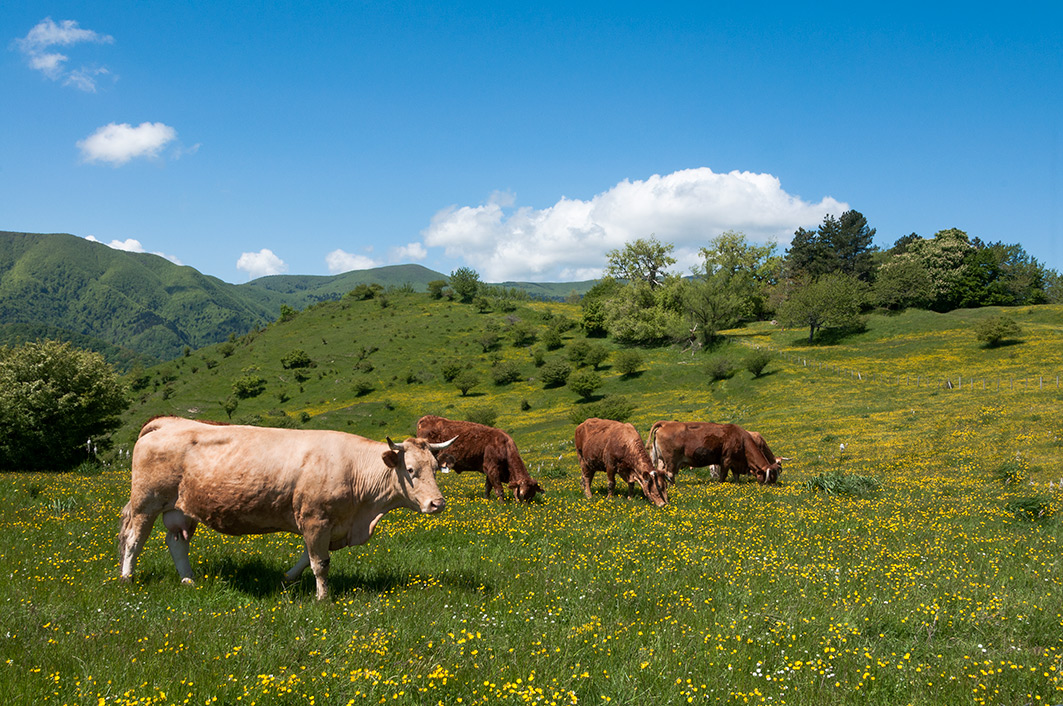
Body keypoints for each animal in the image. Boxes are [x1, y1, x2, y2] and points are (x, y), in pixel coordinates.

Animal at [118, 416, 454, 600]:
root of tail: (169, 422)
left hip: (180, 508)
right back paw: (126, 578)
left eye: (436, 468)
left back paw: (189, 580)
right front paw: (323, 598)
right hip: (146, 502)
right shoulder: (315, 519)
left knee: (176, 542)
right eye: (410, 470)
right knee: (134, 540)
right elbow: (320, 562)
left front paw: (287, 578)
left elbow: (308, 558)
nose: (437, 503)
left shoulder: (329, 524)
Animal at [648, 420, 781, 485]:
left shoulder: (735, 462)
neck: (742, 440)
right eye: (771, 478)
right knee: (670, 474)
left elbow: (736, 476)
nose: (774, 486)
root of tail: (666, 423)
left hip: (662, 460)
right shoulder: (726, 459)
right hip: (671, 460)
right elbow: (723, 475)